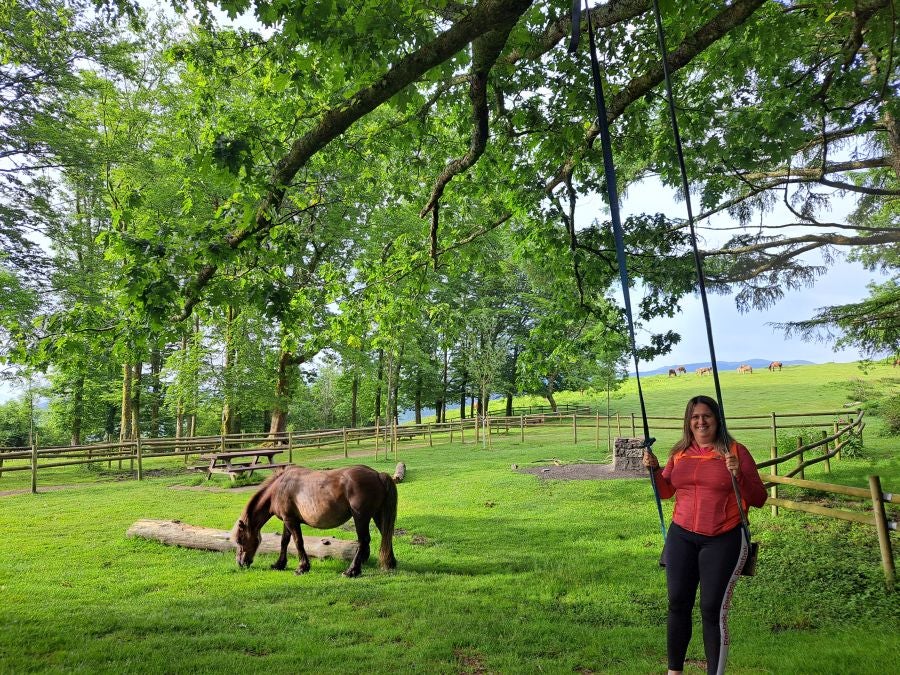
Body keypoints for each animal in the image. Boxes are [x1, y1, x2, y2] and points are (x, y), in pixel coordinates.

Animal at [232, 464, 398, 580]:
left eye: (240, 540)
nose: (240, 563)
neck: (278, 488)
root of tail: (378, 474)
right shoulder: (287, 521)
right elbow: (284, 541)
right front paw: (279, 564)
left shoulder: (291, 521)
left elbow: (298, 542)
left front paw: (302, 567)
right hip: (378, 515)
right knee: (386, 536)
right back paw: (390, 564)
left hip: (361, 517)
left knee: (363, 541)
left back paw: (351, 571)